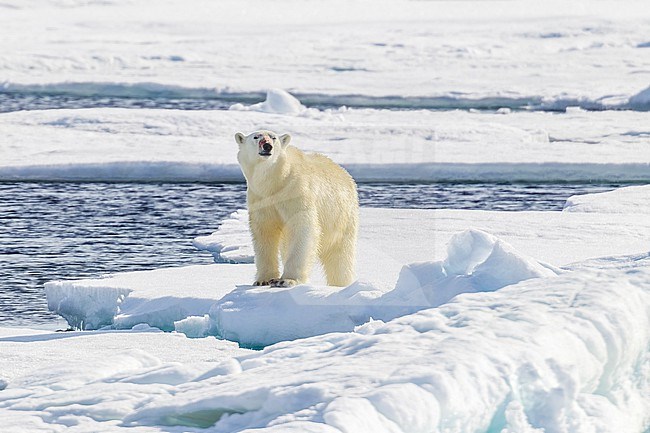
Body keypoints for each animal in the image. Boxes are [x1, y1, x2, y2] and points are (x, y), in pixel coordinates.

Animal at [233, 130, 356, 288]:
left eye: (273, 137)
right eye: (256, 137)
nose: (267, 146)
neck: (275, 183)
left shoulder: (296, 191)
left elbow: (302, 227)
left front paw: (286, 280)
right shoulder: (260, 198)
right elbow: (264, 232)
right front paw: (263, 280)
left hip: (341, 218)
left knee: (340, 258)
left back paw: (341, 284)